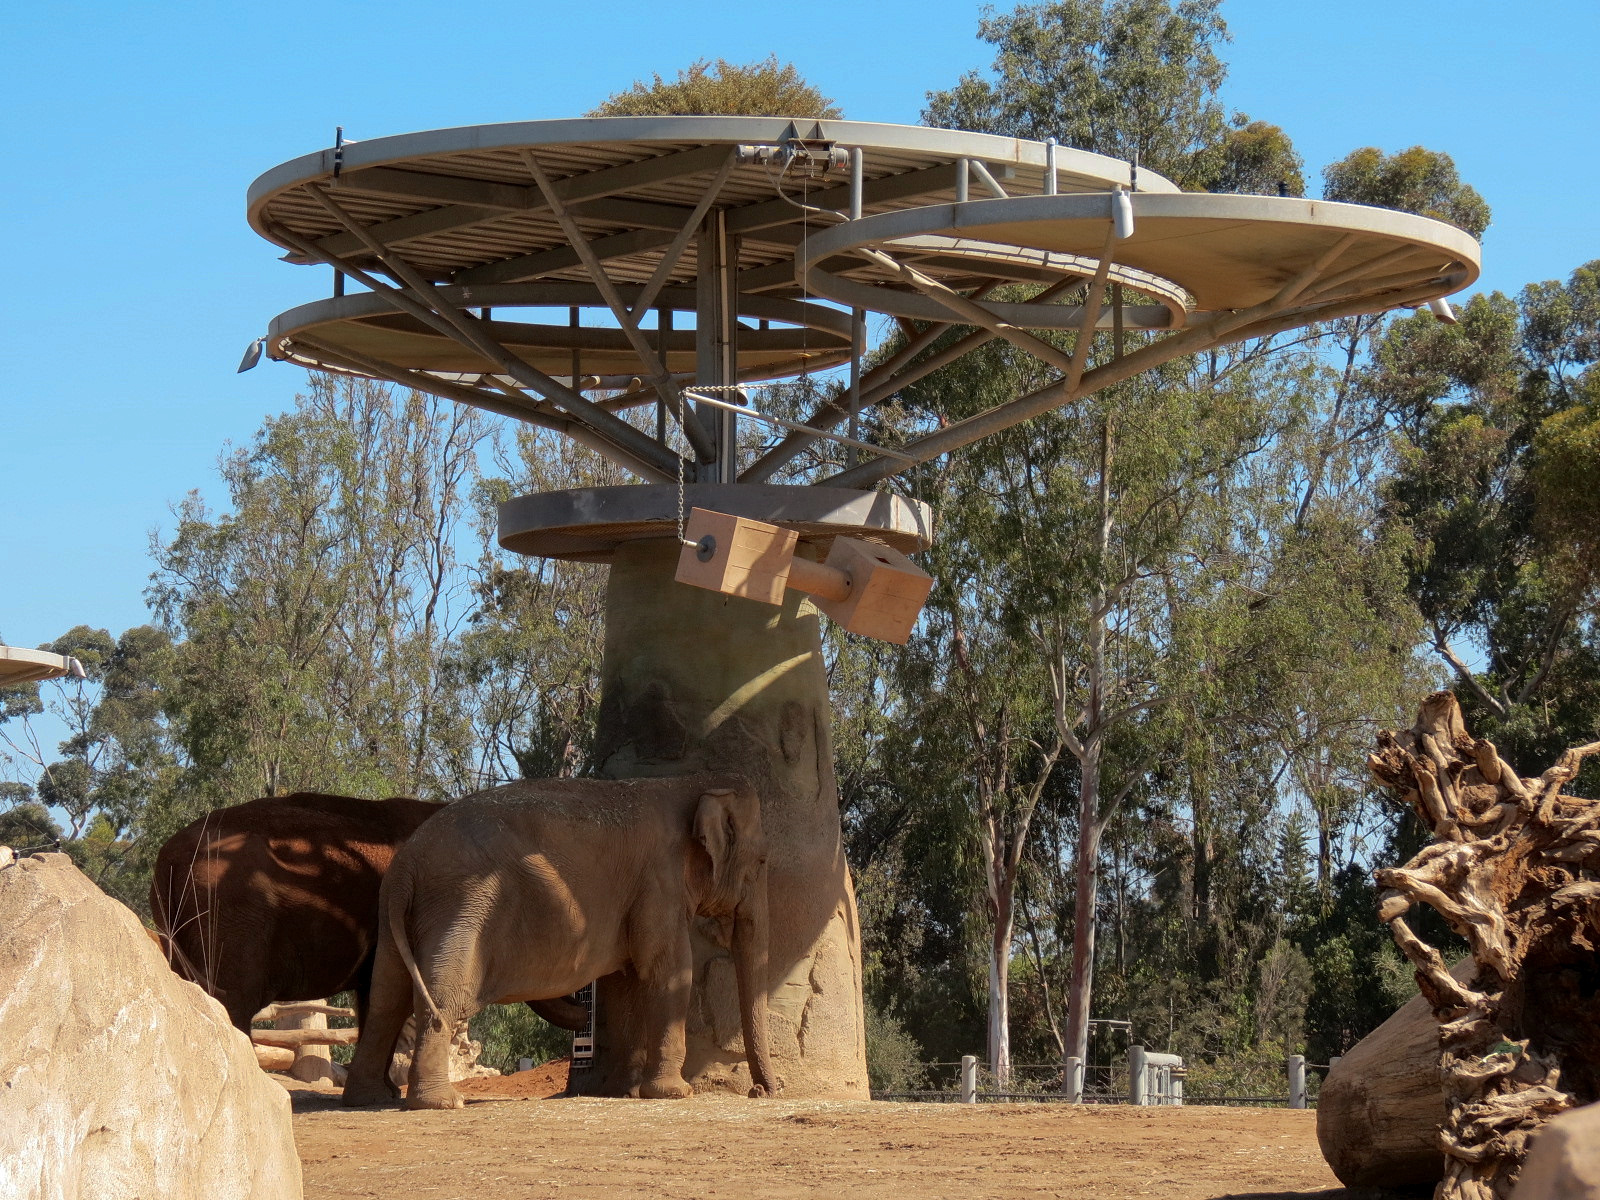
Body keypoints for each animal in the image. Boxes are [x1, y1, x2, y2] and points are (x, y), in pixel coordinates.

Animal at [341, 773, 777, 1110]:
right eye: (761, 862)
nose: (761, 1091)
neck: (691, 782)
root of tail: (406, 865)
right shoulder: (660, 882)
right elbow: (668, 971)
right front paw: (675, 1094)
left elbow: (624, 981)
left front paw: (624, 1092)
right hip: (460, 908)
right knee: (442, 996)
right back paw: (442, 1102)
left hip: (400, 915)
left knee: (386, 997)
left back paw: (368, 1098)